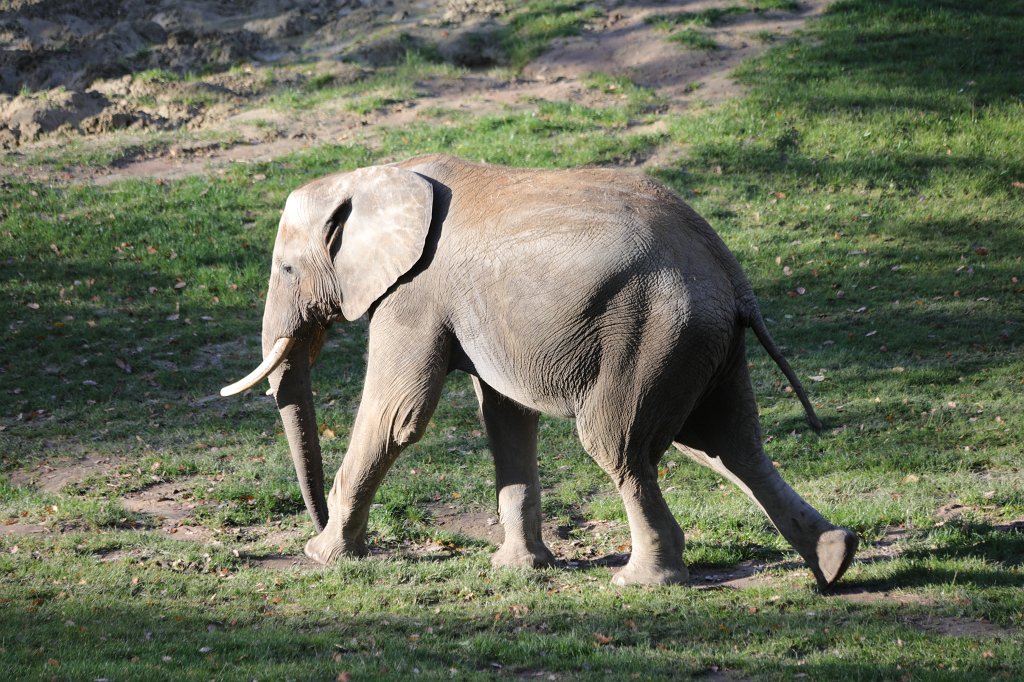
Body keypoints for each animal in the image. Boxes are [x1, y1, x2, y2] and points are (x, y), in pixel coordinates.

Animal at [221, 154, 858, 588]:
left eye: (286, 268)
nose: (317, 519)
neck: (382, 173)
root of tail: (731, 275)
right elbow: (505, 417)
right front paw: (519, 568)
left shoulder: (412, 295)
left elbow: (396, 416)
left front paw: (321, 556)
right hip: (704, 344)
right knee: (727, 445)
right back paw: (835, 559)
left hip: (652, 332)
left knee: (619, 443)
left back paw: (640, 582)